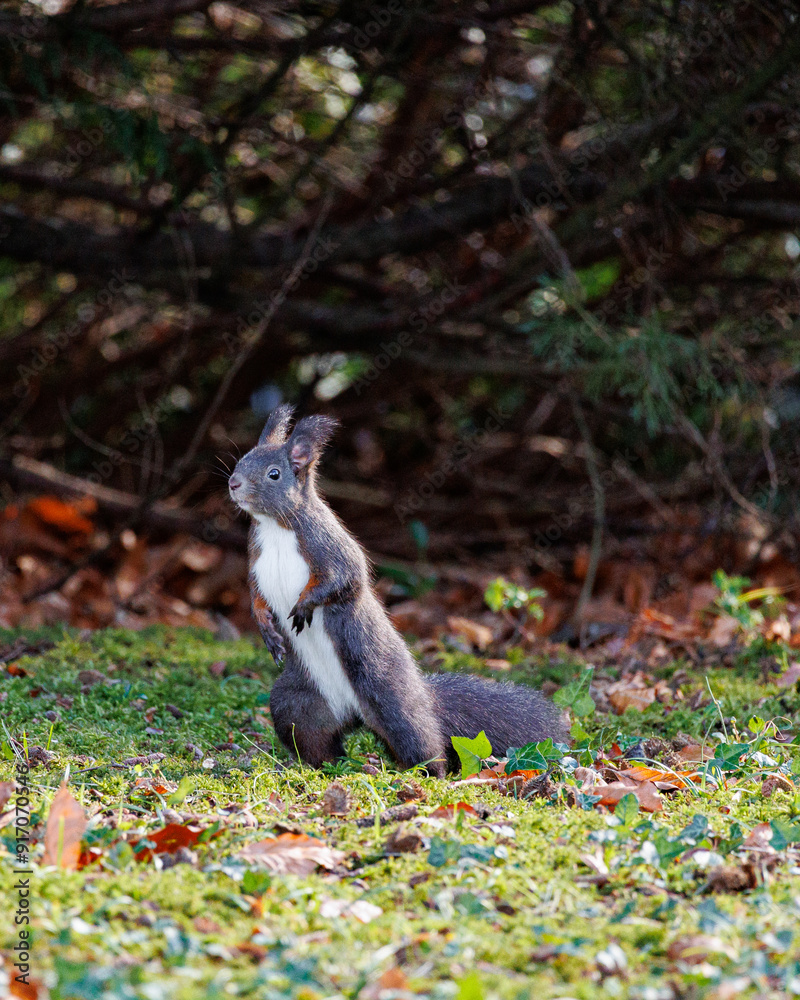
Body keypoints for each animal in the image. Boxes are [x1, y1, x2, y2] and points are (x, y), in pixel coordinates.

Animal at [228, 405, 568, 776]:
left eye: (274, 474)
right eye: (242, 459)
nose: (233, 483)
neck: (275, 527)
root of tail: (354, 714)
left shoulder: (328, 546)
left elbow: (344, 579)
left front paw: (304, 605)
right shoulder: (256, 563)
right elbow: (256, 598)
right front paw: (267, 630)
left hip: (388, 695)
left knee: (421, 738)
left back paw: (429, 775)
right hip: (296, 703)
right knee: (312, 737)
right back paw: (319, 766)